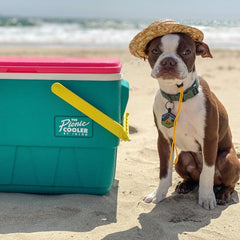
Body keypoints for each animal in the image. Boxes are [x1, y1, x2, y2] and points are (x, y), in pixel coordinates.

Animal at [141, 33, 240, 210]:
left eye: (187, 51)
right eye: (155, 51)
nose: (168, 61)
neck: (177, 95)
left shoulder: (209, 139)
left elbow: (207, 173)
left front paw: (207, 198)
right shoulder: (163, 140)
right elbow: (164, 172)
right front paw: (158, 194)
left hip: (227, 158)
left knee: (228, 183)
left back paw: (222, 194)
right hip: (183, 157)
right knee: (193, 177)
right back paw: (185, 185)